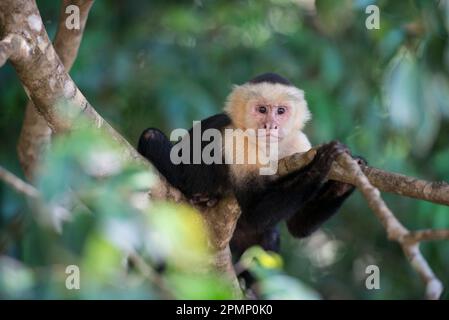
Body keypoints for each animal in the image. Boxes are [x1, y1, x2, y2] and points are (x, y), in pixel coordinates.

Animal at [136, 72, 360, 258]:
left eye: (281, 111)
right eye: (261, 109)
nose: (271, 125)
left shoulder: (300, 144)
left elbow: (297, 225)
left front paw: (348, 178)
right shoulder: (236, 140)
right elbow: (255, 211)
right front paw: (320, 163)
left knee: (268, 237)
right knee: (151, 135)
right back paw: (200, 198)